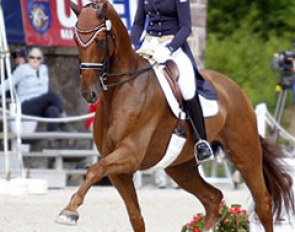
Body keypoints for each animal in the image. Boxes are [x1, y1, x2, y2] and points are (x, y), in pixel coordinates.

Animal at [55, 0, 294, 231]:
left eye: (99, 41)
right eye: (76, 40)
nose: (88, 93)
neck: (121, 90)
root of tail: (235, 89)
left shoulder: (130, 154)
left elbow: (93, 171)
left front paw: (69, 211)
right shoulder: (118, 169)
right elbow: (135, 216)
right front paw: (70, 210)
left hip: (244, 153)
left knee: (263, 202)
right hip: (181, 167)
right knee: (212, 199)